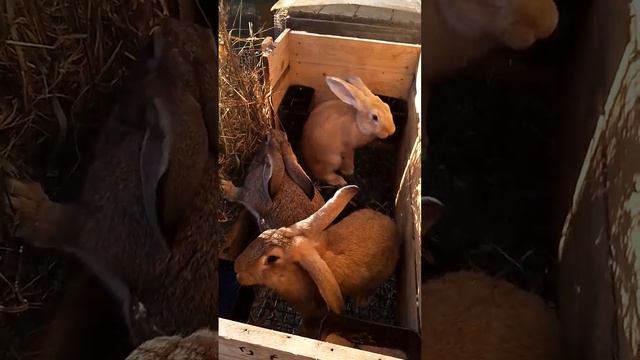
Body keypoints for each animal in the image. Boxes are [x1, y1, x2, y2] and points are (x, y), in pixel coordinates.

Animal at [3, 21, 220, 346]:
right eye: (206, 37)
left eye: (152, 49)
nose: (163, 25)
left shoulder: (93, 228)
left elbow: (60, 226)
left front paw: (21, 199)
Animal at [232, 184, 398, 338]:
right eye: (265, 232)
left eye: (272, 258)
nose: (237, 267)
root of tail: (390, 224)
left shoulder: (314, 315)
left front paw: (303, 333)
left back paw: (361, 300)